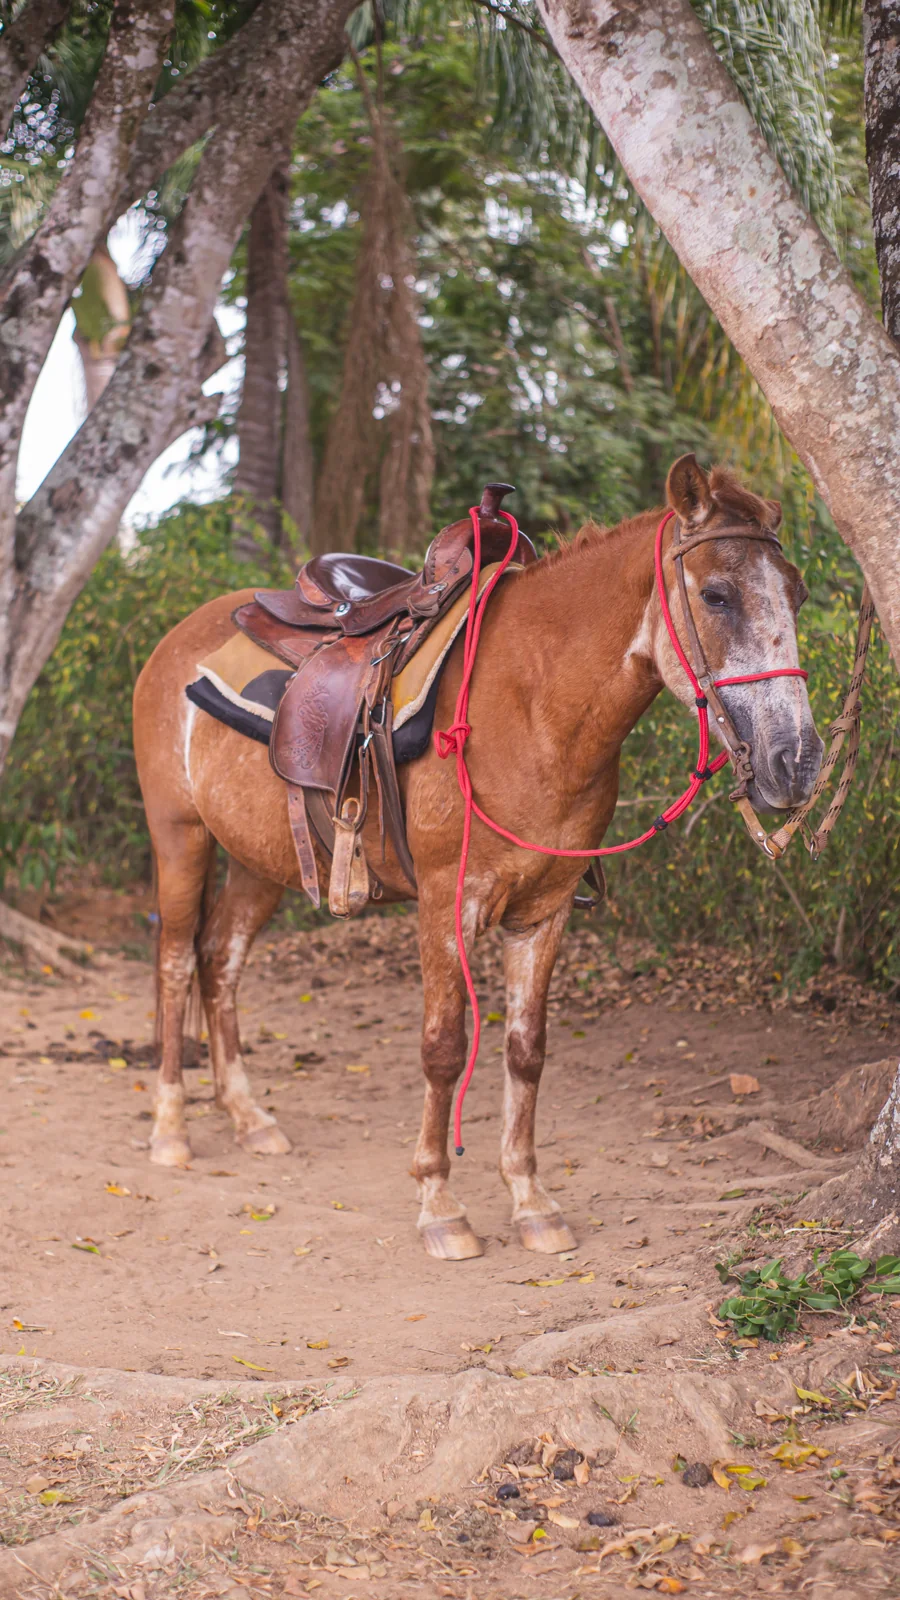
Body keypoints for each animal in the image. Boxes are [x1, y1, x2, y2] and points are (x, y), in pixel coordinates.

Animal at [132, 455, 822, 1260]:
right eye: (716, 593)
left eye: (798, 592)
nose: (796, 761)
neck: (531, 709)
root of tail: (179, 637)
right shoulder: (445, 902)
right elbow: (443, 1046)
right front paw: (440, 1205)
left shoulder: (544, 910)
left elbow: (526, 1049)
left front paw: (530, 1200)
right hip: (179, 833)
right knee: (174, 961)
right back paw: (171, 1128)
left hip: (259, 859)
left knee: (220, 960)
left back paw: (248, 1117)